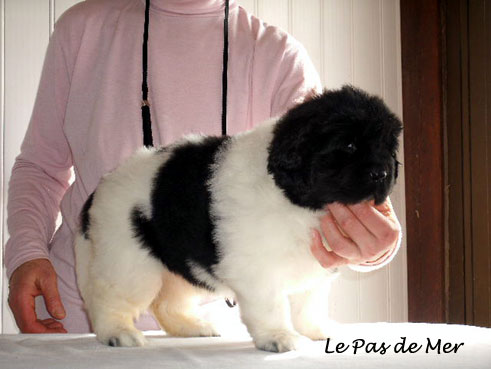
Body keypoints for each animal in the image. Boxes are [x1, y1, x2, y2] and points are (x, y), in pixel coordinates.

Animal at [74, 85, 404, 350]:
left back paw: (193, 327)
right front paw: (278, 337)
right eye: (349, 145)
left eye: (388, 148)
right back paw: (118, 333)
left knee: (167, 302)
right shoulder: (256, 268)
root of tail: (100, 187)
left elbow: (309, 304)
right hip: (129, 260)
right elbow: (271, 305)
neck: (298, 200)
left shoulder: (316, 265)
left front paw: (317, 331)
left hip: (180, 261)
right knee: (110, 298)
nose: (382, 173)